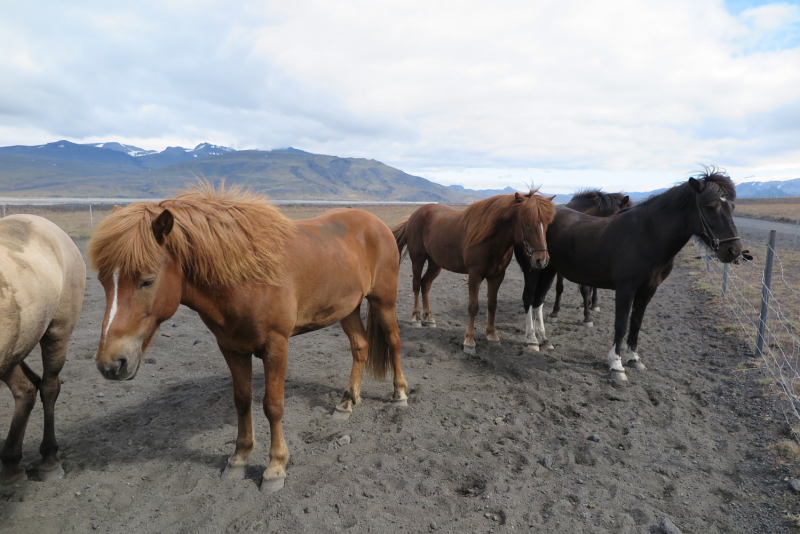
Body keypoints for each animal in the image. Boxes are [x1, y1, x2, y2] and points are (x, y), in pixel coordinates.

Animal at [87, 186, 406, 496]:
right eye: (103, 281)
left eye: (147, 280)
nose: (111, 364)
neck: (245, 278)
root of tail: (376, 223)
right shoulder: (231, 347)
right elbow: (242, 400)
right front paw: (238, 459)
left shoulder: (276, 346)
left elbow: (272, 405)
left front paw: (275, 468)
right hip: (347, 309)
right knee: (360, 347)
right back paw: (347, 402)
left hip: (383, 301)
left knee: (393, 341)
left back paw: (399, 393)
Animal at [394, 189, 556, 356]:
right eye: (527, 223)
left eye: (547, 224)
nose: (541, 260)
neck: (490, 240)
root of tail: (415, 214)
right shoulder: (474, 275)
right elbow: (473, 306)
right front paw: (469, 341)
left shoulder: (497, 277)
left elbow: (492, 305)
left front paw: (492, 335)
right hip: (418, 260)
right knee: (416, 285)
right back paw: (416, 318)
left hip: (435, 263)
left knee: (425, 284)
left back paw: (428, 318)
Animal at [516, 170, 740, 384]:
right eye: (710, 206)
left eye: (732, 207)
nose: (734, 250)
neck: (647, 235)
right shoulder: (626, 289)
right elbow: (621, 324)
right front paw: (616, 364)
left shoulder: (648, 290)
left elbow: (636, 322)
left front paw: (633, 358)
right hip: (534, 269)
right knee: (529, 300)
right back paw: (531, 340)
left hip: (548, 269)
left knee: (538, 301)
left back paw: (544, 340)